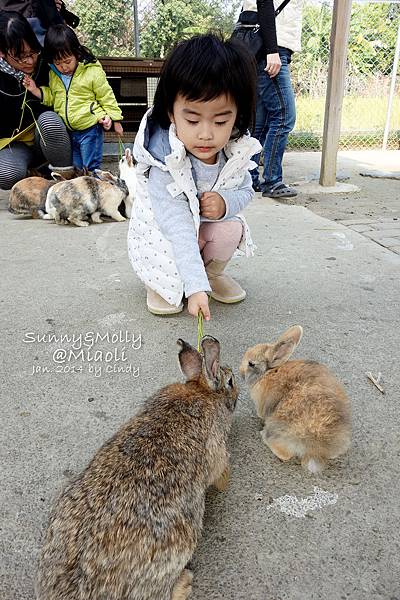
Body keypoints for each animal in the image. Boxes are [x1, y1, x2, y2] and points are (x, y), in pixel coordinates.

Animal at [36, 338, 238, 600]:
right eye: (231, 381)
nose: (237, 392)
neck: (201, 391)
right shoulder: (216, 450)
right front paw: (225, 481)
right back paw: (185, 583)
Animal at [241, 326, 350, 472]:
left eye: (251, 364)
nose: (240, 371)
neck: (268, 372)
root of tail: (316, 447)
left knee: (285, 454)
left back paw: (263, 435)